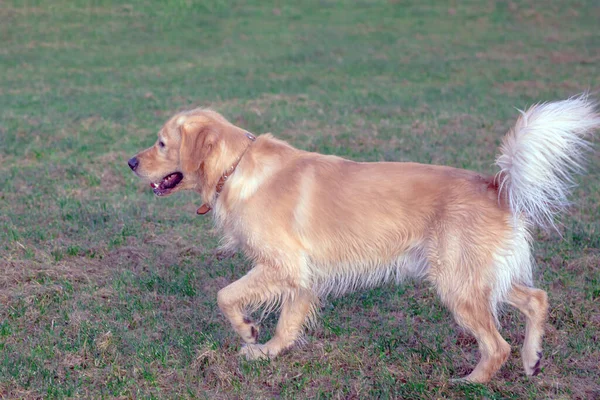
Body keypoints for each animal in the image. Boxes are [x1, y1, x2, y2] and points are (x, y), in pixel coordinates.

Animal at [129, 96, 596, 382]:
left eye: (162, 143)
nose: (131, 161)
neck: (236, 168)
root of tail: (495, 184)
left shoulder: (282, 264)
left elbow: (226, 296)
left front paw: (247, 331)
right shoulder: (302, 274)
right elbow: (288, 322)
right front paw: (269, 351)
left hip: (456, 282)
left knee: (497, 345)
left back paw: (471, 381)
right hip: (477, 276)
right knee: (537, 299)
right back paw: (532, 359)